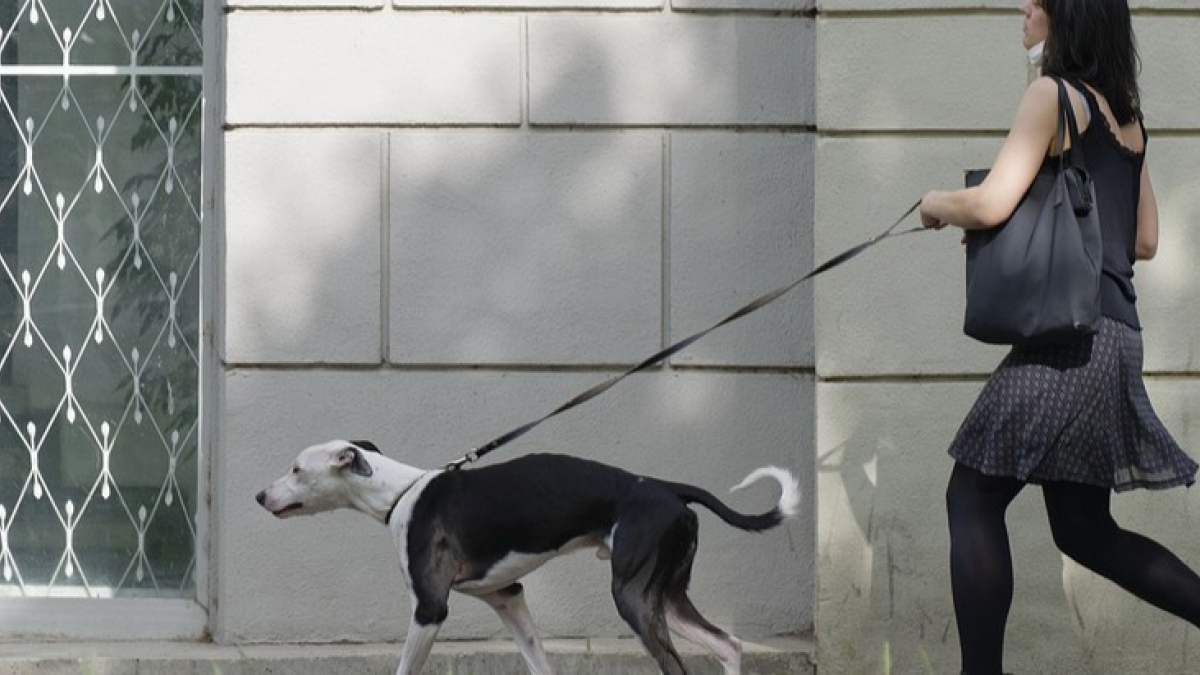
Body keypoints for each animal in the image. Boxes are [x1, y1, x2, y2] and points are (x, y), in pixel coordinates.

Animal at [255, 439, 796, 667]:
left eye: (297, 469)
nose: (260, 496)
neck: (400, 493)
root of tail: (665, 488)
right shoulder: (508, 597)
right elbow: (539, 663)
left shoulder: (429, 610)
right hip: (667, 596)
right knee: (728, 644)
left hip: (636, 599)